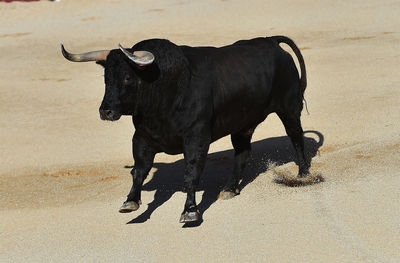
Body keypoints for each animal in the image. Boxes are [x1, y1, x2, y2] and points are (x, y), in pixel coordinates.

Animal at [61, 36, 310, 224]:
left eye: (128, 77)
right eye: (106, 78)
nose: (106, 111)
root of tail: (271, 41)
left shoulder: (196, 137)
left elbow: (191, 173)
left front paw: (190, 211)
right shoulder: (142, 137)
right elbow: (139, 171)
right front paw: (130, 201)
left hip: (289, 107)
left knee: (296, 137)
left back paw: (303, 174)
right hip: (243, 124)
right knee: (243, 153)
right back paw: (229, 189)